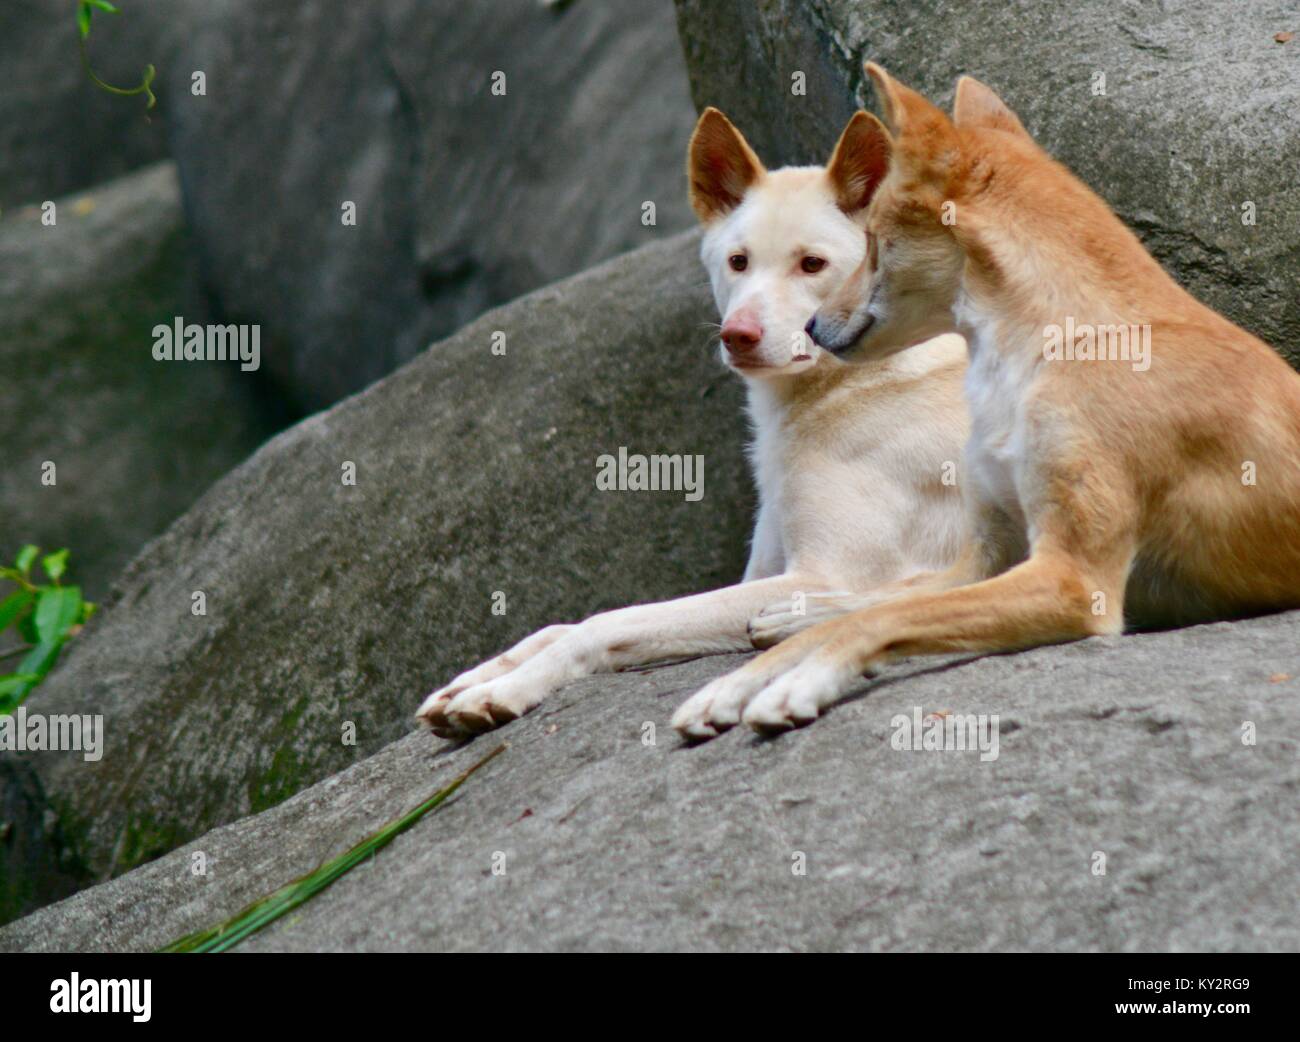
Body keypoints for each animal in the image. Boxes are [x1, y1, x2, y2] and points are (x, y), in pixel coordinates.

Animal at [410, 105, 972, 732]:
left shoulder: (827, 572)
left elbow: (604, 623)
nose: (737, 335)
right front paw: (475, 678)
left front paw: (510, 686)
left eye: (813, 265)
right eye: (737, 262)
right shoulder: (767, 574)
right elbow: (562, 625)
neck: (842, 385)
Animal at [670, 64, 1300, 732]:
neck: (1055, 343)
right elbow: (871, 610)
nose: (813, 328)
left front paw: (801, 681)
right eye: (738, 262)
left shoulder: (1072, 580)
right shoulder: (987, 557)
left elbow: (883, 617)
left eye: (867, 245)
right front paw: (734, 683)